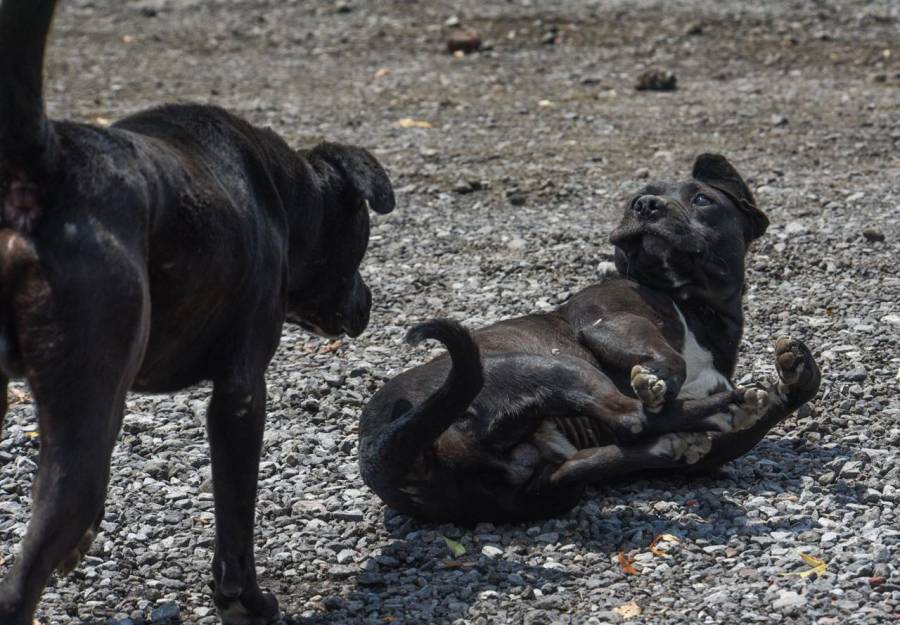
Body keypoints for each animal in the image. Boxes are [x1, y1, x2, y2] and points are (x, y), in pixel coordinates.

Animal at [0, 2, 394, 620]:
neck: (283, 193)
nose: (369, 303)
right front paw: (246, 600)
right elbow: (236, 519)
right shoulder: (240, 393)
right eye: (362, 238)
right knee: (23, 579)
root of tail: (45, 163)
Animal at [356, 154, 816, 524]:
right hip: (554, 366)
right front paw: (659, 380)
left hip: (543, 485)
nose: (646, 205)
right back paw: (719, 408)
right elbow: (671, 362)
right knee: (630, 419)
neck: (697, 310)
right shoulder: (607, 321)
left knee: (601, 454)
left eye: (702, 200)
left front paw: (795, 371)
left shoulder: (709, 457)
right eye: (636, 197)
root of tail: (385, 453)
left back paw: (684, 435)